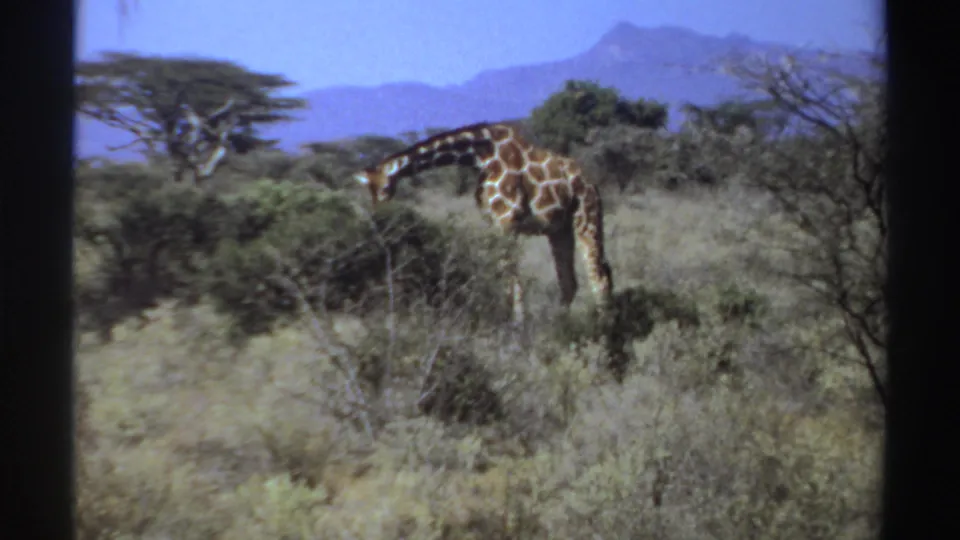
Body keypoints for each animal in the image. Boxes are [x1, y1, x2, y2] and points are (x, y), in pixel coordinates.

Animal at [352, 121, 615, 330]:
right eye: (369, 192)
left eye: (385, 189)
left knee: (599, 277)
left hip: (586, 218)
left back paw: (603, 332)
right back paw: (562, 326)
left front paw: (518, 326)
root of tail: (592, 184)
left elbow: (512, 279)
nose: (379, 216)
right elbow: (503, 274)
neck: (480, 157)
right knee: (570, 282)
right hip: (559, 230)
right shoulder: (492, 223)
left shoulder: (506, 221)